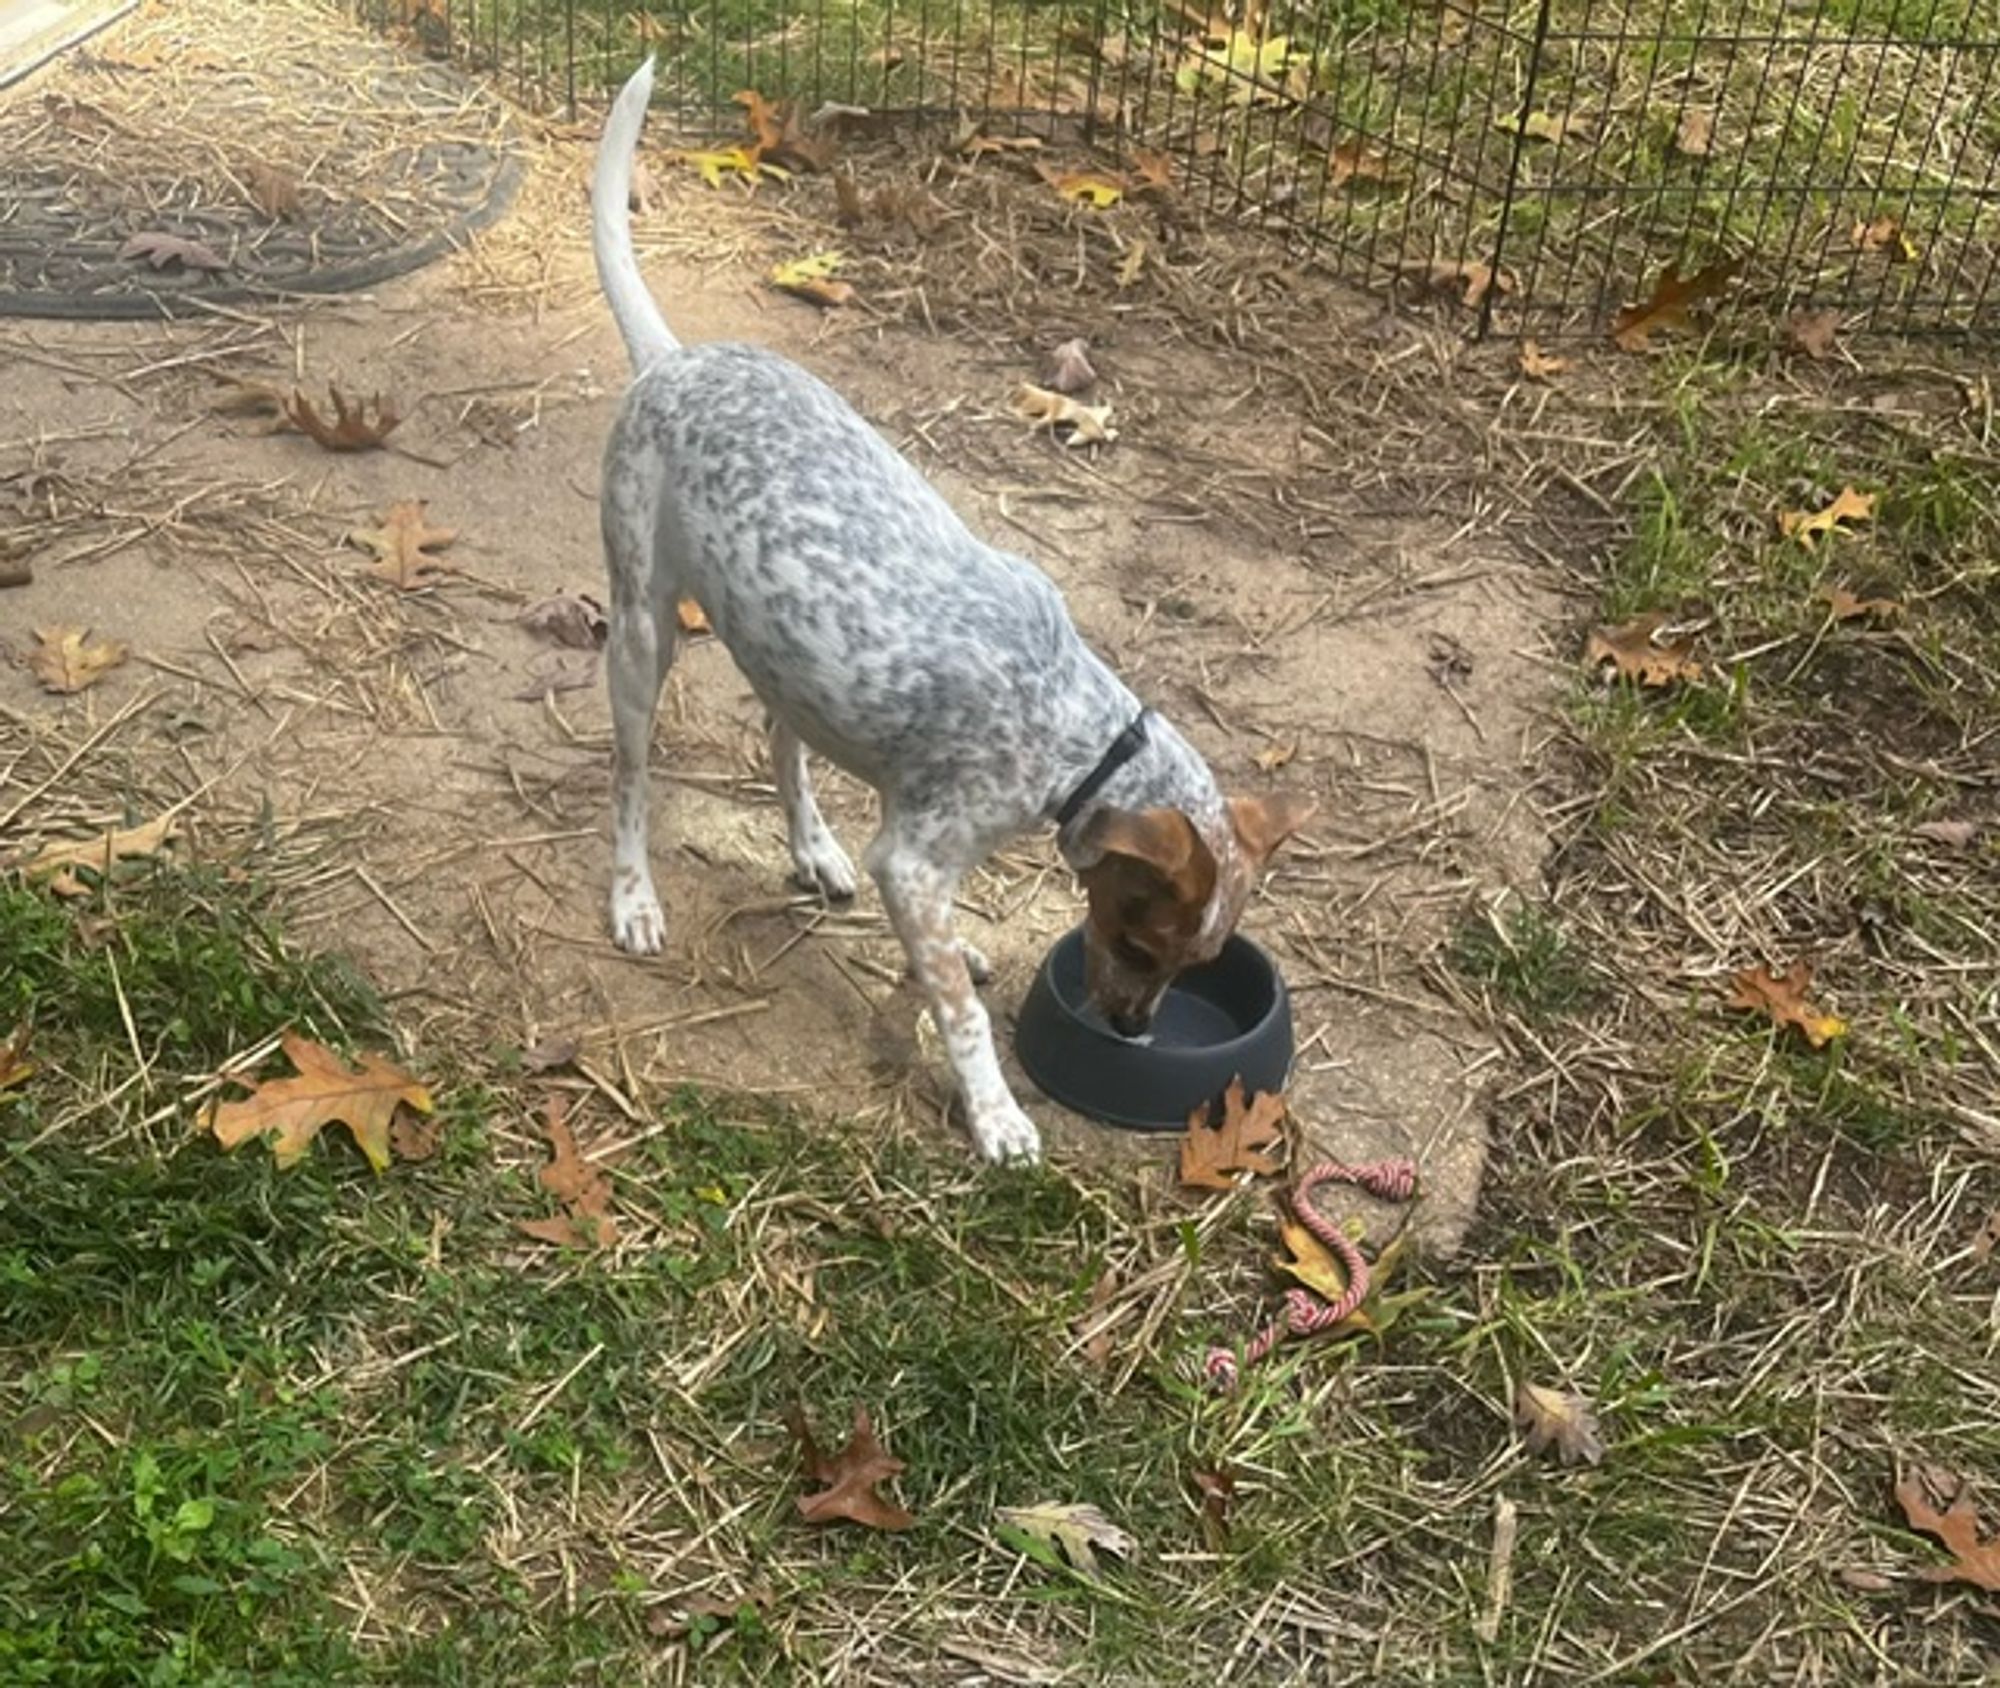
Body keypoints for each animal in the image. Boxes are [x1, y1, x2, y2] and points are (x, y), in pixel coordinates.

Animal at [592, 56, 1312, 1160]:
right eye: (1135, 935)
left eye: (1194, 962)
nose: (1129, 1030)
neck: (1074, 733)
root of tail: (675, 359)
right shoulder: (916, 861)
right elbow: (961, 1015)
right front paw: (997, 1112)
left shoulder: (924, 857)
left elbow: (940, 956)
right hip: (640, 633)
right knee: (631, 783)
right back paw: (634, 896)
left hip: (786, 658)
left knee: (783, 741)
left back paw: (813, 848)